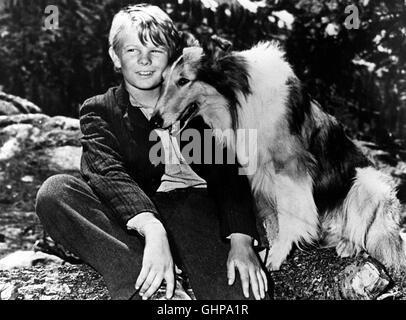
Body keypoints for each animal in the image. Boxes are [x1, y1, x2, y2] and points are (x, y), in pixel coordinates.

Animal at [150, 40, 406, 270]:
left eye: (183, 80)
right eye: (163, 81)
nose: (154, 120)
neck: (240, 99)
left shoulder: (290, 167)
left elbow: (288, 215)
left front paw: (279, 254)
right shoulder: (257, 174)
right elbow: (271, 220)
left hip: (369, 182)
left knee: (363, 233)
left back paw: (348, 244)